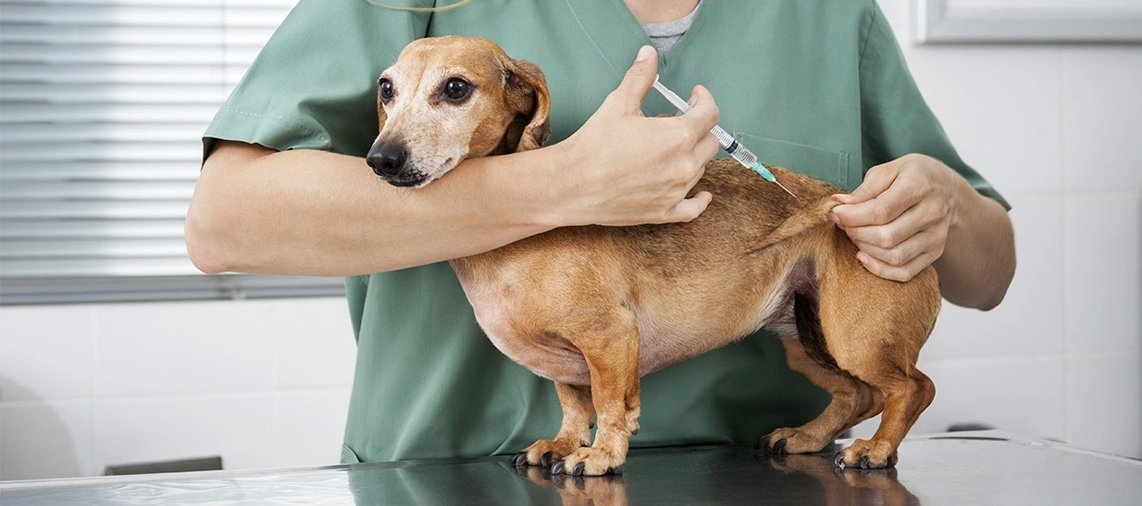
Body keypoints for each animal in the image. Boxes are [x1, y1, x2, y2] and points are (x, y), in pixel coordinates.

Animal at [365, 37, 936, 477]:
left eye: (455, 88)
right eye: (387, 89)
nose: (379, 159)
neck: (513, 242)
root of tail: (841, 203)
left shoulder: (610, 338)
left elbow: (610, 405)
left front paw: (599, 456)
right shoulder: (565, 363)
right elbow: (573, 405)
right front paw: (563, 443)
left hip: (855, 337)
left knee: (913, 389)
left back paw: (876, 449)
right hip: (808, 341)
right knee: (860, 396)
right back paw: (806, 437)